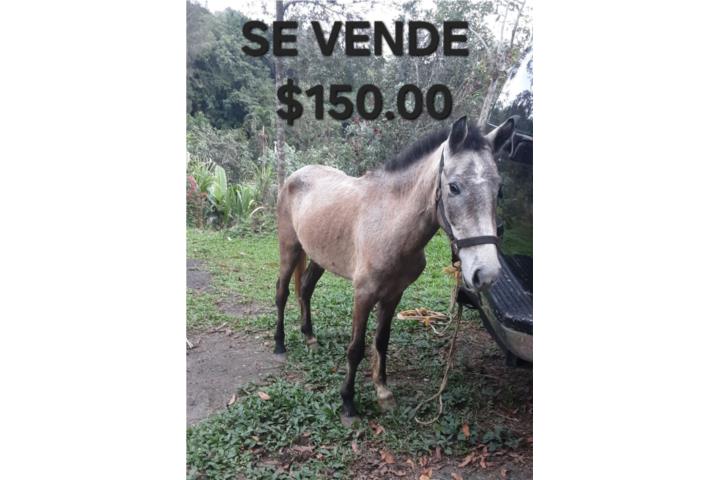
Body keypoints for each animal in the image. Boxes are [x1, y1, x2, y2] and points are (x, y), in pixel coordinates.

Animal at [273, 115, 516, 425]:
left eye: (499, 189)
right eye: (454, 187)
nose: (486, 273)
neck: (390, 223)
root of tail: (296, 175)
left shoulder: (393, 295)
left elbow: (381, 341)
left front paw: (383, 392)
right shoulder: (363, 294)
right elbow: (356, 348)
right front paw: (348, 403)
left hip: (318, 257)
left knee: (304, 289)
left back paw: (309, 337)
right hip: (289, 249)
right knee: (282, 293)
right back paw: (280, 345)